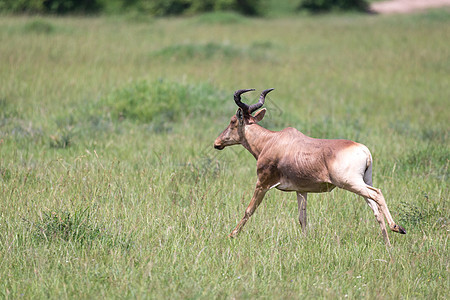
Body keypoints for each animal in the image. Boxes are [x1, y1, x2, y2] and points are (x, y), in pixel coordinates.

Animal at [213, 88, 406, 246]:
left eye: (233, 121)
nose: (217, 143)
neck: (271, 141)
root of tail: (364, 150)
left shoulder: (263, 184)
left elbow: (249, 209)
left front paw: (232, 235)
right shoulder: (301, 190)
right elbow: (302, 218)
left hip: (350, 182)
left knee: (377, 194)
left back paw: (397, 227)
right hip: (364, 180)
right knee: (375, 208)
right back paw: (388, 244)